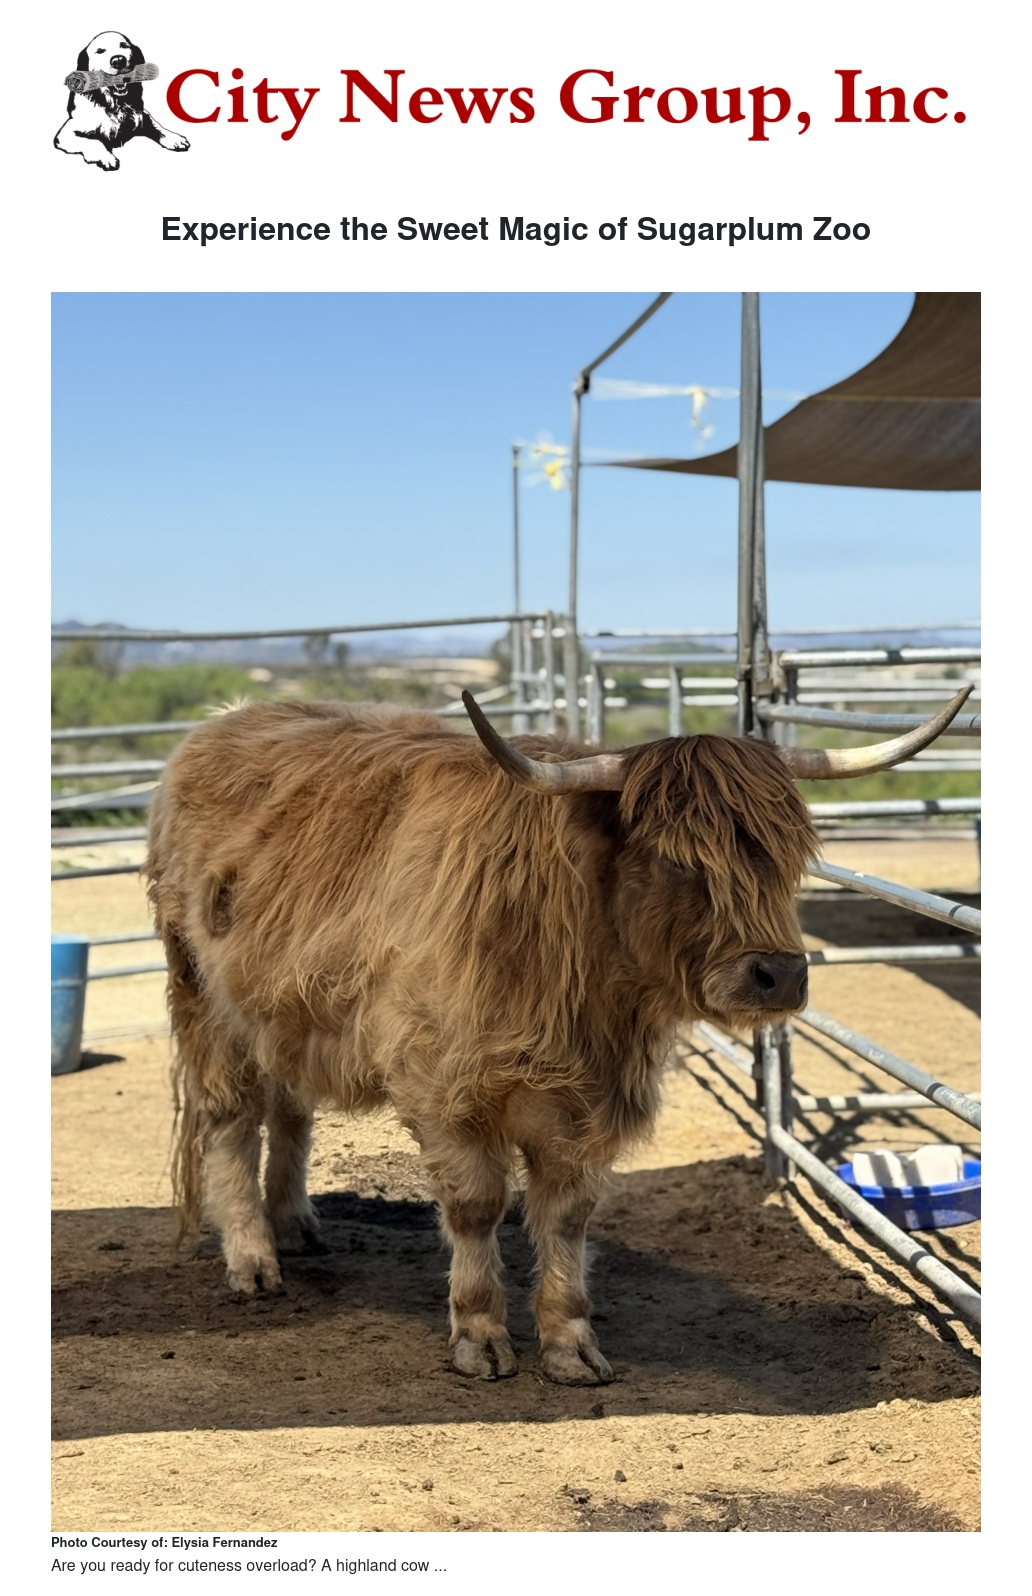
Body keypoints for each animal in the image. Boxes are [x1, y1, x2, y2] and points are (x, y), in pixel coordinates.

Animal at [144, 684, 969, 1385]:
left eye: (788, 852)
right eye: (676, 859)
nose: (780, 974)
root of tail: (224, 721)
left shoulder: (586, 1103)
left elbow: (568, 1217)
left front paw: (571, 1342)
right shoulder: (446, 1088)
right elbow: (477, 1208)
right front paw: (480, 1336)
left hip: (281, 1010)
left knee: (290, 1110)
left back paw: (295, 1224)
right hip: (204, 998)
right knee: (230, 1120)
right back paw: (253, 1258)